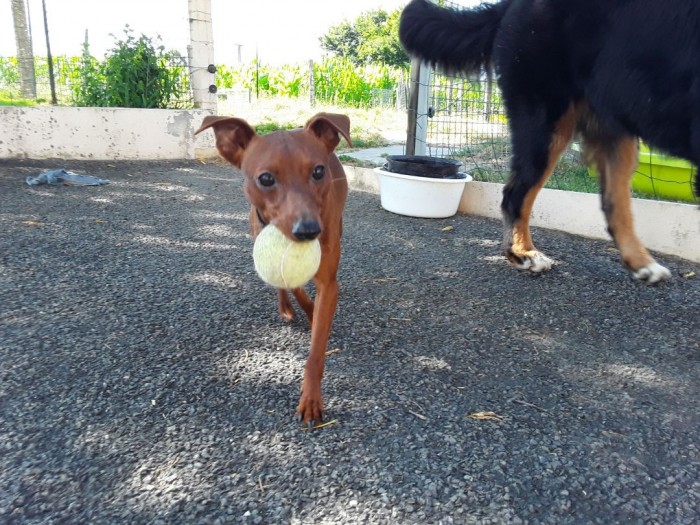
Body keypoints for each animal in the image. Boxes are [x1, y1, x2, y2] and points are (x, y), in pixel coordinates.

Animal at [196, 112, 350, 424]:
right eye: (266, 178)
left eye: (318, 171)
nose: (308, 231)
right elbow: (292, 284)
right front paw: (306, 309)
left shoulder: (329, 281)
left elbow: (316, 349)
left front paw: (311, 399)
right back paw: (287, 308)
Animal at [400, 0, 700, 282]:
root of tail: (513, 4)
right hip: (545, 125)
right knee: (515, 195)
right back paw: (523, 253)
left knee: (613, 204)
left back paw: (641, 264)